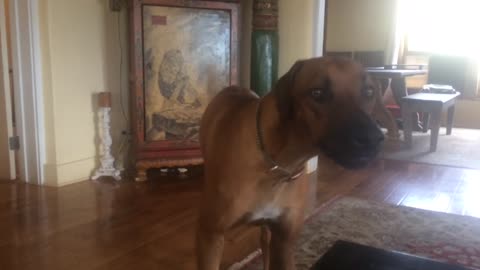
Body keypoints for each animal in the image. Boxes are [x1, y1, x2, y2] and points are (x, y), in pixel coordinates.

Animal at [197, 56, 384, 268]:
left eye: (369, 92)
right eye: (317, 93)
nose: (372, 138)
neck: (277, 165)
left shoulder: (284, 241)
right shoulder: (210, 236)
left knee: (265, 241)